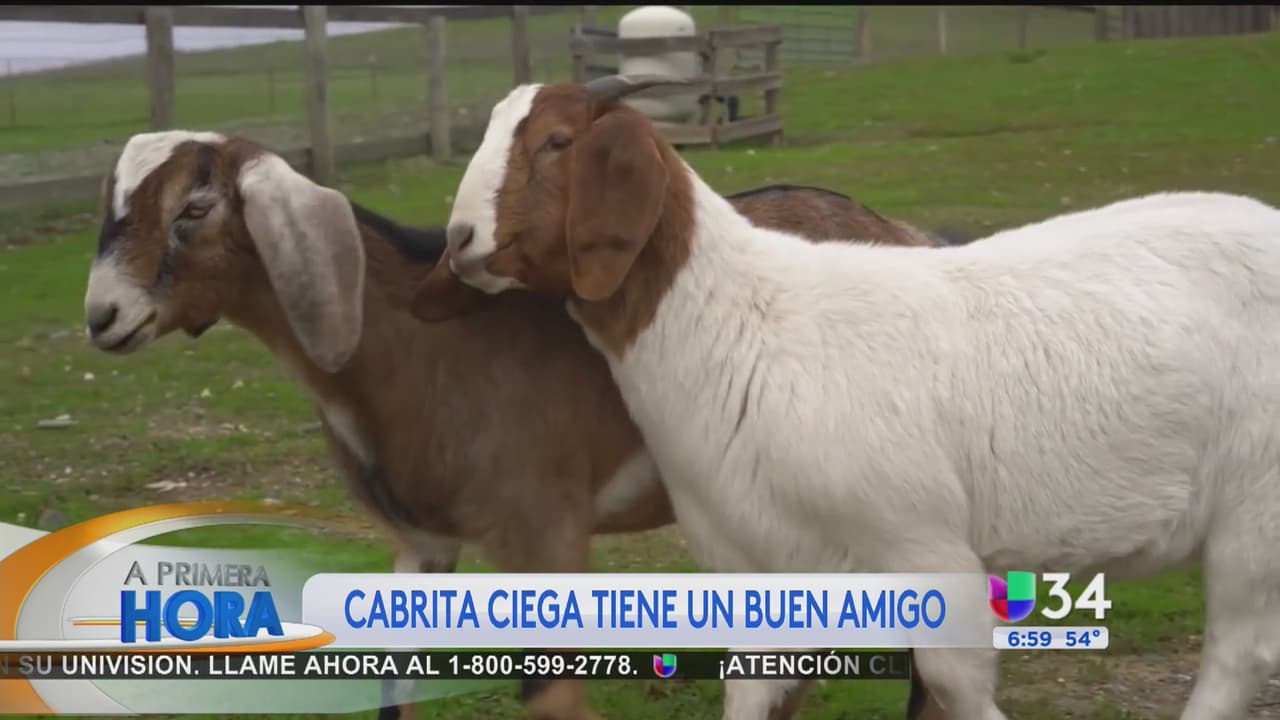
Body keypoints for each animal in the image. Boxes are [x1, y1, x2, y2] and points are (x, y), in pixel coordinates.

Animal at [81, 131, 952, 720]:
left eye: (196, 207)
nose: (103, 316)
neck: (418, 343)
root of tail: (909, 235)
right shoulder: (422, 541)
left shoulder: (542, 530)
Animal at [428, 75, 1280, 720]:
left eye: (556, 142)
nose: (459, 241)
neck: (742, 323)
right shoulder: (763, 568)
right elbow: (752, 691)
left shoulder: (922, 545)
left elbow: (952, 684)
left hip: (1255, 501)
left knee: (1237, 652)